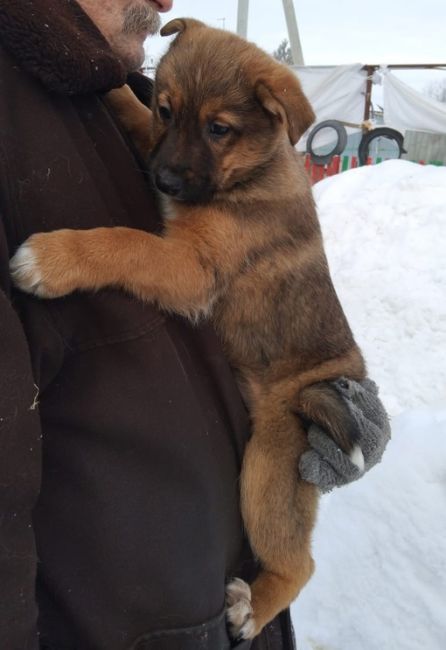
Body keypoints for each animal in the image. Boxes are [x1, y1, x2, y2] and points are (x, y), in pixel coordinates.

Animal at [10, 19, 366, 636]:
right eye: (167, 110)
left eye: (219, 129)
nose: (164, 181)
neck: (249, 175)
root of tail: (331, 380)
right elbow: (133, 119)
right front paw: (113, 88)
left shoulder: (193, 267)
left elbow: (125, 242)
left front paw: (53, 259)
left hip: (269, 462)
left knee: (301, 563)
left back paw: (254, 606)